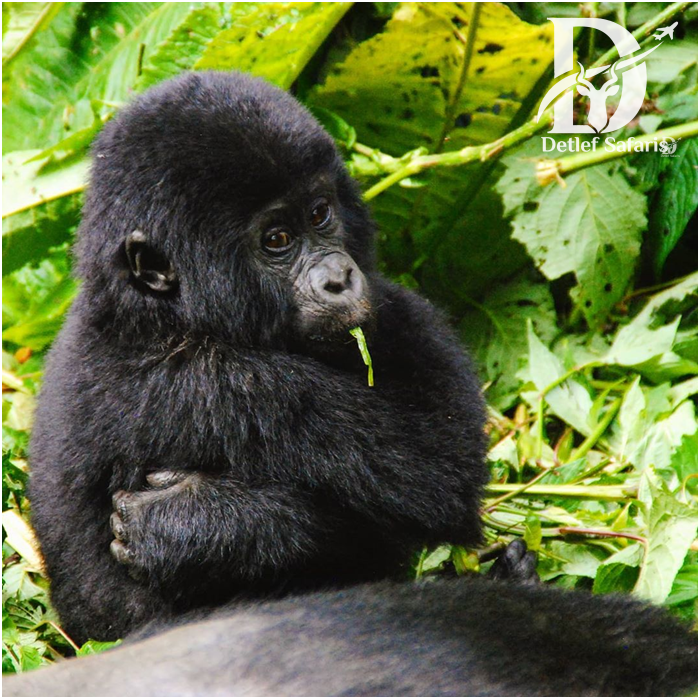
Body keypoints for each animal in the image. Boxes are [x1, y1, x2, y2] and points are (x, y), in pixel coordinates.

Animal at [28, 71, 490, 644]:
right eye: (277, 240)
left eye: (320, 213)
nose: (340, 278)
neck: (151, 315)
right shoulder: (221, 383)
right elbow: (437, 474)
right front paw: (207, 526)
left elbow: (447, 434)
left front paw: (184, 526)